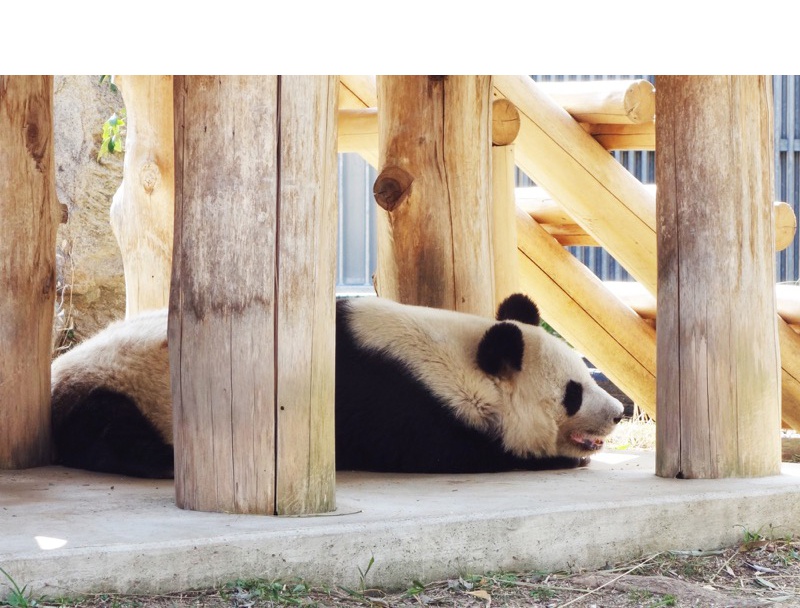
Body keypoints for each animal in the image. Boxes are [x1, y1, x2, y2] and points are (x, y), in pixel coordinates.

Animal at [50, 292, 628, 478]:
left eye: (586, 374)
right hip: (117, 385)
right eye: (573, 392)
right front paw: (552, 458)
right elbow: (451, 452)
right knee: (111, 432)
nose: (619, 411)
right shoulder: (401, 402)